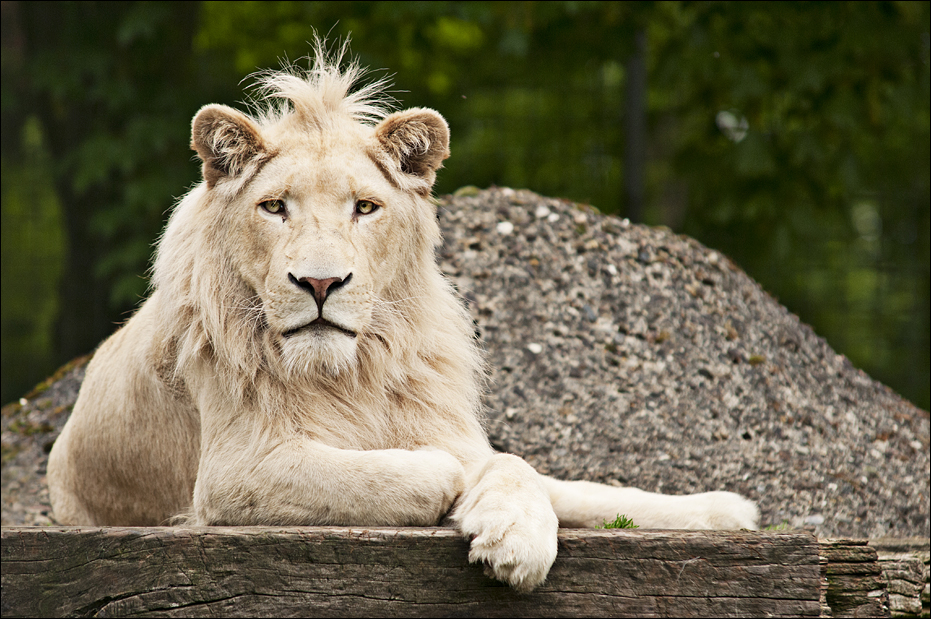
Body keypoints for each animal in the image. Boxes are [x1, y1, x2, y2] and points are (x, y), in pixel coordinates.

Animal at [47, 42, 759, 592]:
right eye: (274, 207)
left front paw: (515, 535)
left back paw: (729, 511)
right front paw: (461, 499)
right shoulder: (232, 474)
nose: (320, 282)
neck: (354, 367)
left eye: (365, 208)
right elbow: (429, 469)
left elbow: (518, 466)